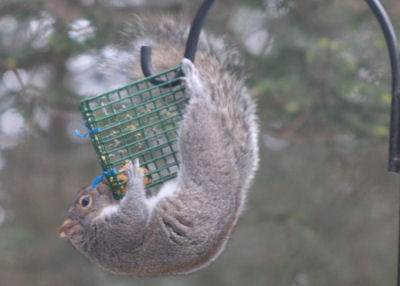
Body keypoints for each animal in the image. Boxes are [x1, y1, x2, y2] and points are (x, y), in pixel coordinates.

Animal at [58, 19, 260, 276]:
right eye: (85, 201)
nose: (102, 182)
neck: (89, 233)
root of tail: (236, 191)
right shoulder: (119, 231)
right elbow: (134, 212)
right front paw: (134, 177)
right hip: (202, 151)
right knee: (200, 113)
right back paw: (194, 84)